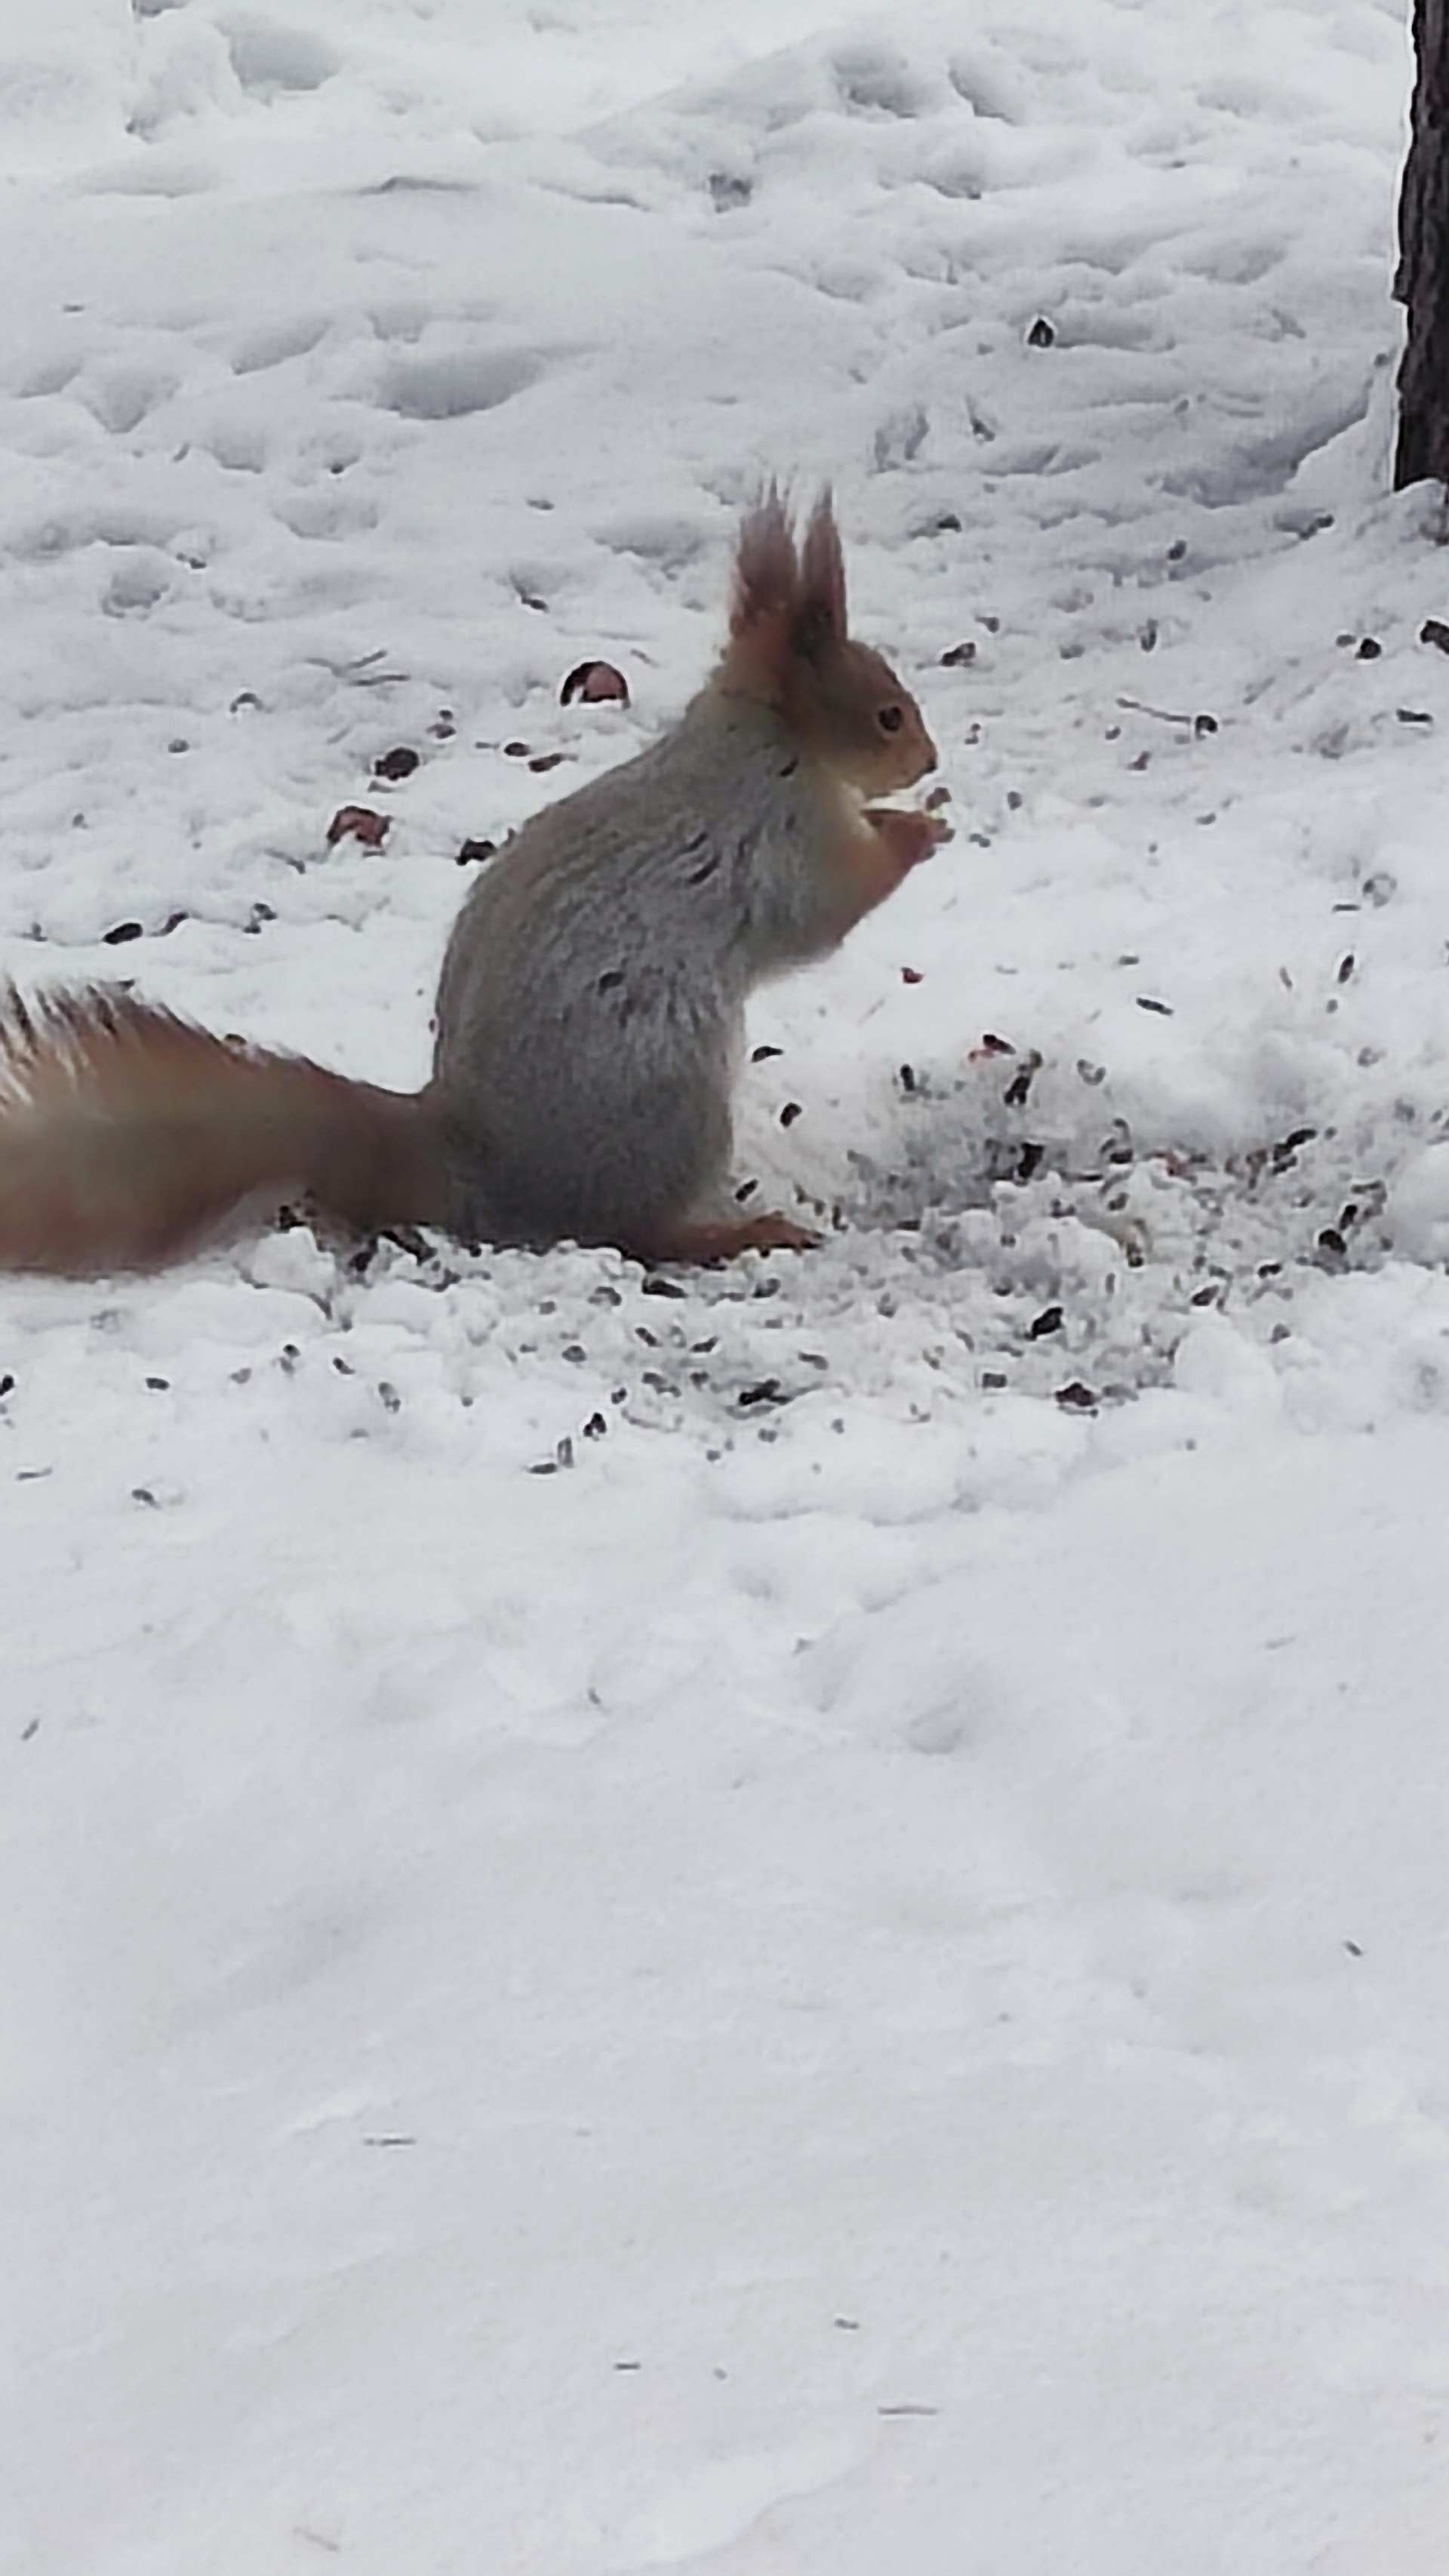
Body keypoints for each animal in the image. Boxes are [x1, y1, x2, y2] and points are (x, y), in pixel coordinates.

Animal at [0, 487, 946, 1273]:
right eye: (888, 714)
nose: (930, 761)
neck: (766, 733)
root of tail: (477, 1159)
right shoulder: (777, 833)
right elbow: (820, 910)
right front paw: (917, 831)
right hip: (670, 1108)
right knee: (630, 1232)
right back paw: (738, 1231)